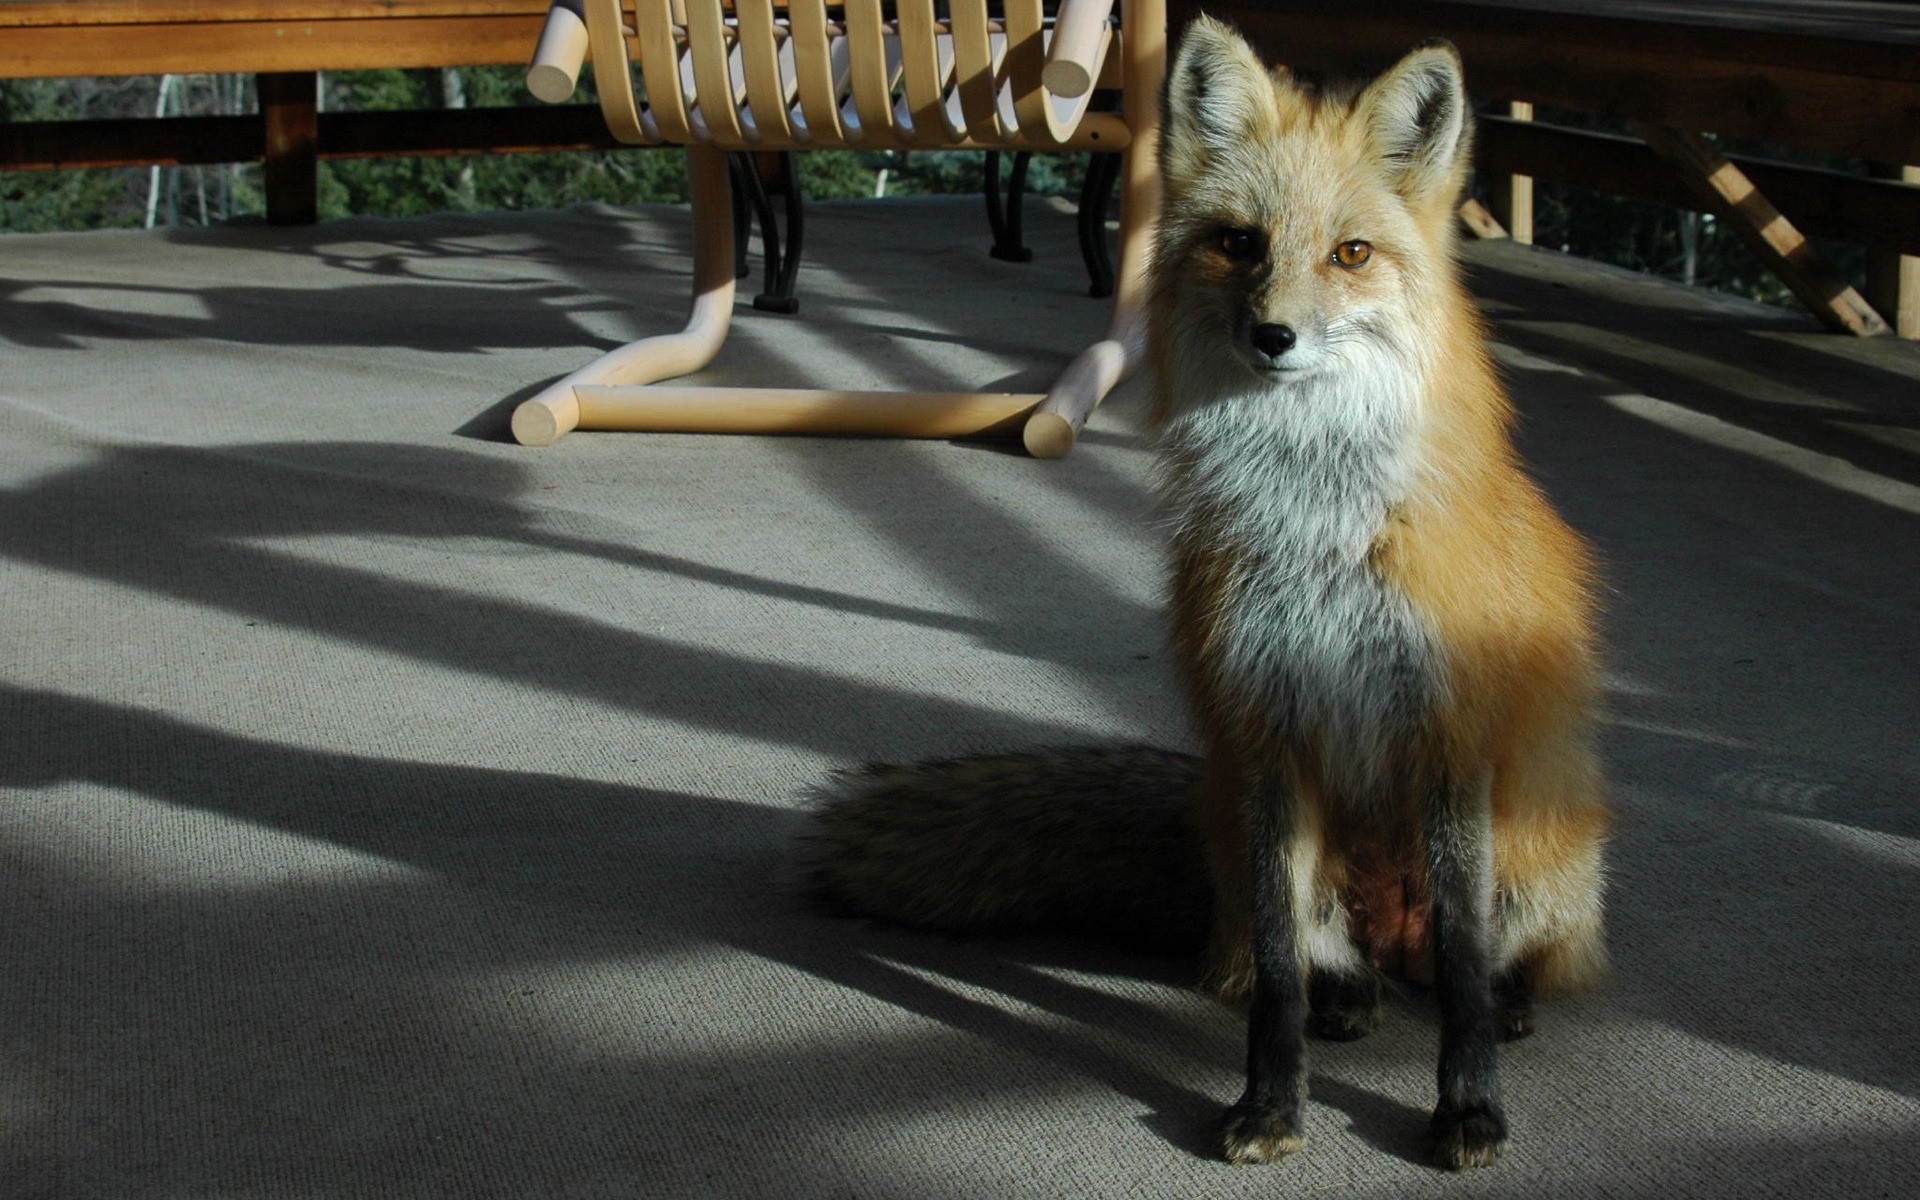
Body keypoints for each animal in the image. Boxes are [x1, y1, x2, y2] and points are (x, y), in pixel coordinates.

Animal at [802, 23, 1612, 1175]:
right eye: (1238, 242)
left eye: (1350, 254)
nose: (1274, 337)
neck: (1316, 529)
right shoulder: (1267, 732)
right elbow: (1272, 975)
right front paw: (1271, 1103)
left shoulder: (1448, 739)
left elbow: (1459, 969)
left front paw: (1468, 1108)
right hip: (1250, 827)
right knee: (1317, 960)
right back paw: (1349, 1000)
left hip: (1541, 854)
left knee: (1485, 962)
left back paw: (1506, 1004)